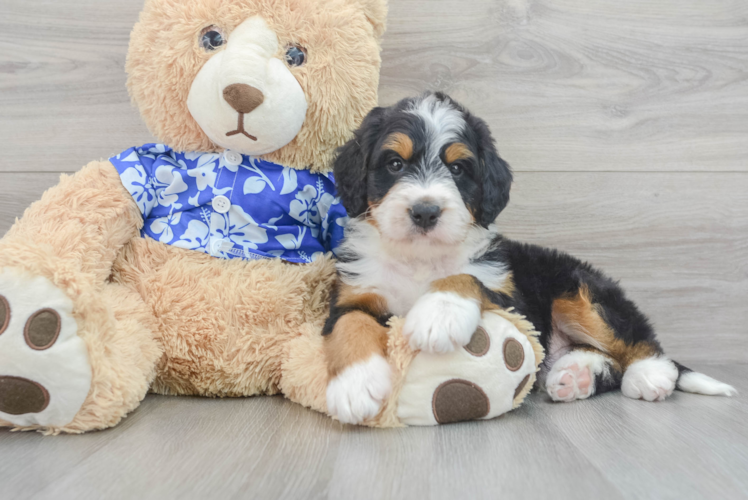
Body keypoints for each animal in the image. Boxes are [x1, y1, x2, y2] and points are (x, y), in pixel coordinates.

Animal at [324, 92, 740, 424]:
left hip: (576, 287)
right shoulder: (353, 293)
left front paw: (439, 313)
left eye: (457, 169)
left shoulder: (512, 299)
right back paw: (576, 375)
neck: (419, 259)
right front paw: (355, 385)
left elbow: (467, 278)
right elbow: (350, 325)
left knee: (635, 338)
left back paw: (650, 373)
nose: (425, 212)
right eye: (394, 164)